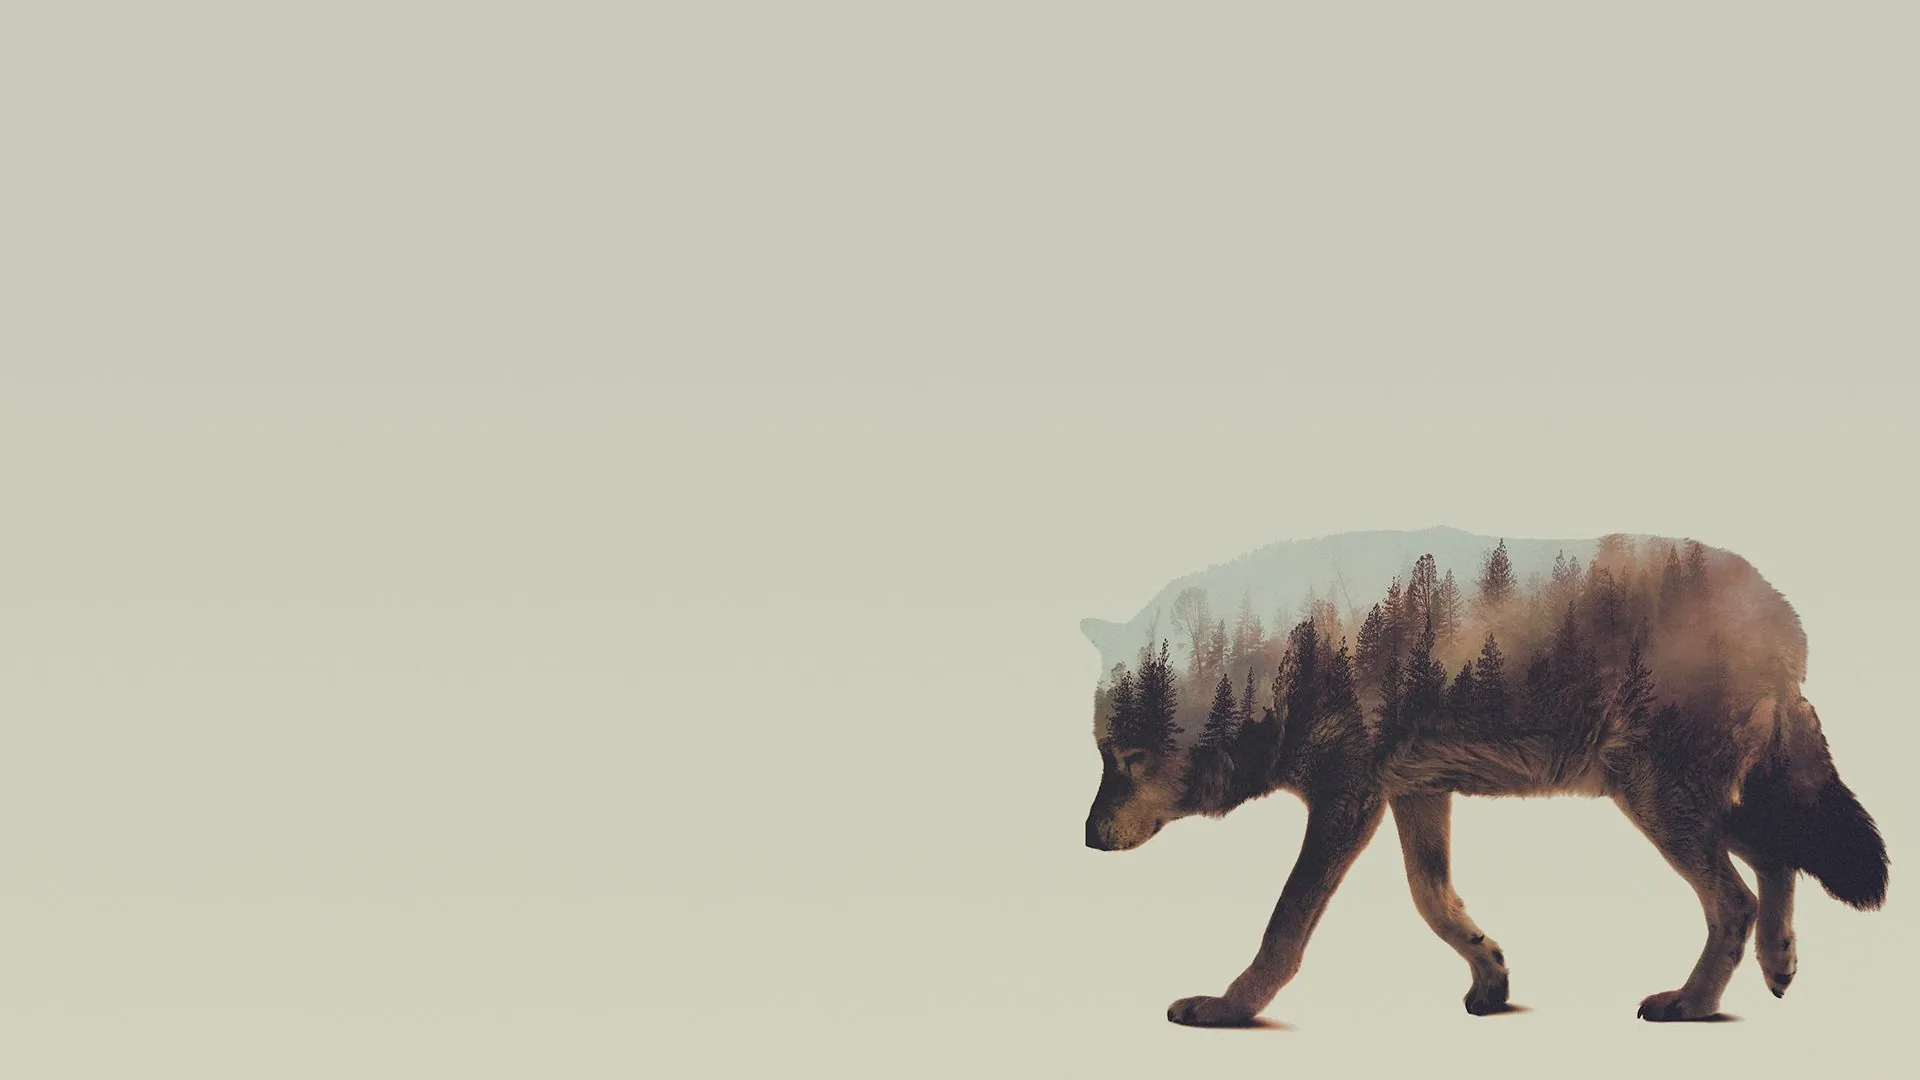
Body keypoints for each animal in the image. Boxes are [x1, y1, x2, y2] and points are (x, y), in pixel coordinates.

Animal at [1082, 529, 1887, 1024]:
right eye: (1101, 753)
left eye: (1125, 757)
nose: (1086, 838)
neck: (1282, 654)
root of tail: (1782, 616)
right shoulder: (1414, 793)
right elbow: (1434, 902)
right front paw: (1493, 979)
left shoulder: (1348, 802)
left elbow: (1284, 925)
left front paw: (1229, 1010)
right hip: (1694, 801)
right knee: (1778, 860)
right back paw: (1778, 967)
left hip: (1658, 800)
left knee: (1738, 898)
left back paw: (1692, 1004)